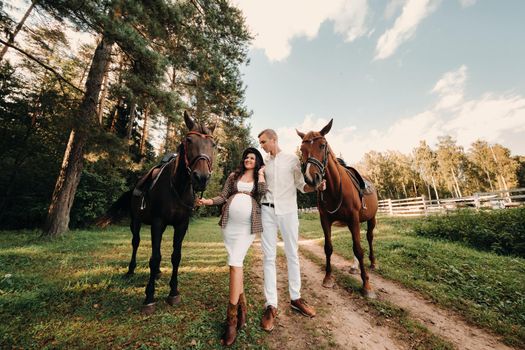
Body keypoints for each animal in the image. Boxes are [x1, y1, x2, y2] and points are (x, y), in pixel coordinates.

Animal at [97, 110, 214, 314]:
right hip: (135, 222)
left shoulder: (181, 225)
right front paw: (149, 297)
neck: (178, 187)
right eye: (188, 140)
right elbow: (155, 257)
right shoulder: (158, 223)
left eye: (213, 145)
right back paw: (130, 270)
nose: (201, 178)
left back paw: (157, 273)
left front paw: (173, 292)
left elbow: (176, 257)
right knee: (135, 243)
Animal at [294, 119, 376, 296]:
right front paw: (328, 278)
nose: (311, 178)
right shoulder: (325, 219)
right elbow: (328, 247)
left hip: (371, 218)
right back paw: (354, 267)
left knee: (369, 238)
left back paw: (373, 263)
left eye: (322, 145)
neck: (335, 188)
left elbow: (359, 249)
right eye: (302, 150)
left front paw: (366, 285)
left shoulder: (353, 219)